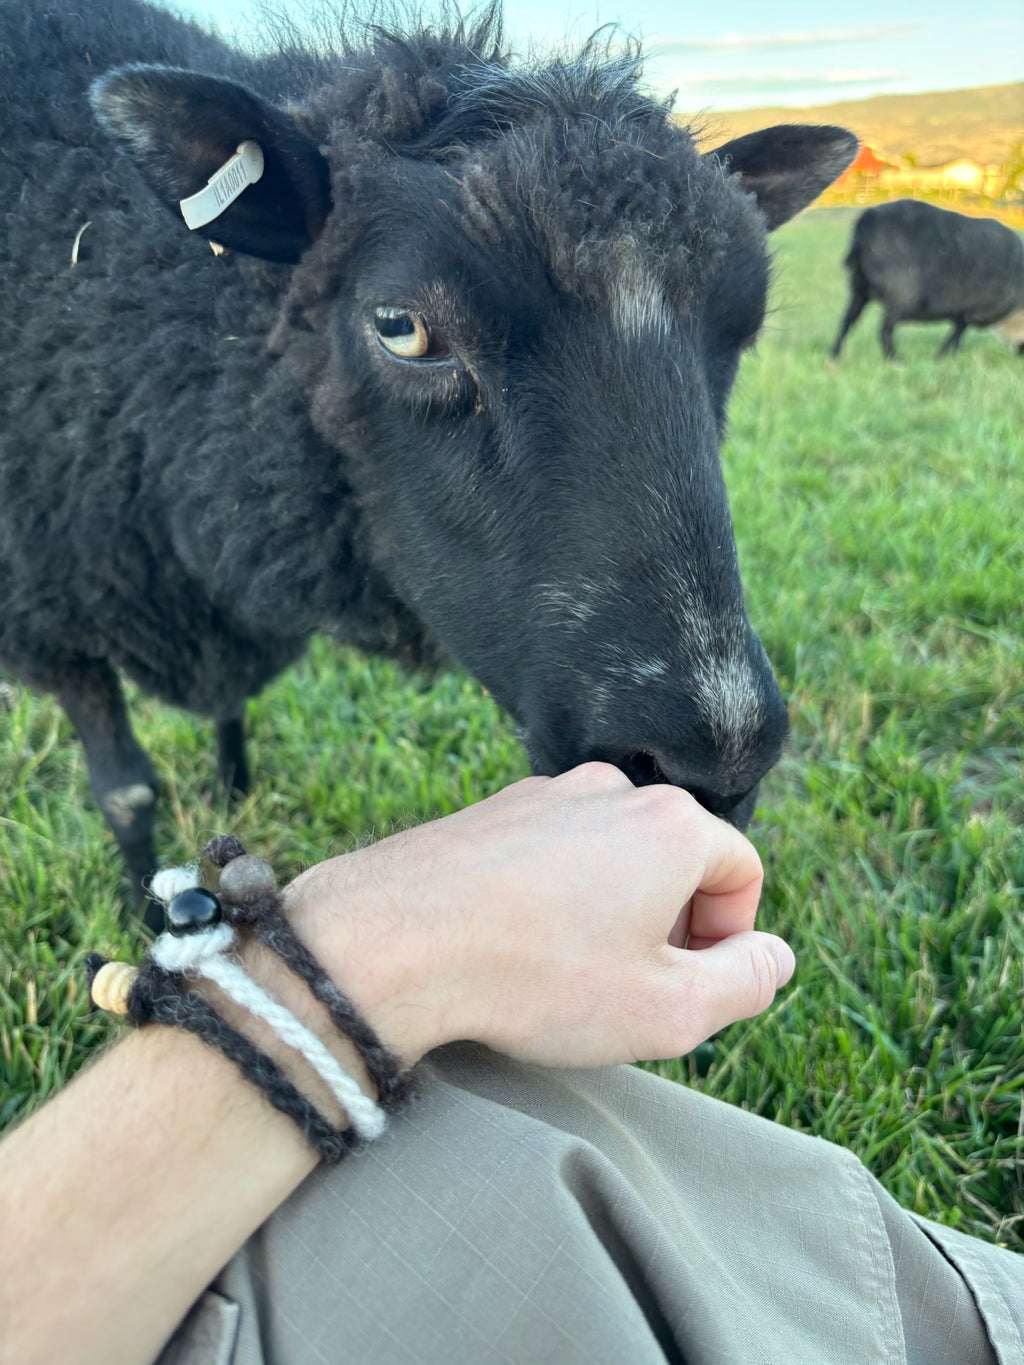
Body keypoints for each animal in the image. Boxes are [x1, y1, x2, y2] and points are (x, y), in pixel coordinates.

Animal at [0, 0, 857, 928]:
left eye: (742, 331)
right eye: (400, 327)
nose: (715, 764)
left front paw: (232, 794)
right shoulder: (57, 609)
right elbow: (126, 794)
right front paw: (150, 913)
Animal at [830, 199, 1024, 361]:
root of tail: (866, 220)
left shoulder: (965, 311)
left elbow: (958, 330)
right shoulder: (974, 309)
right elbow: (958, 333)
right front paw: (942, 356)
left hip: (860, 289)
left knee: (846, 322)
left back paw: (834, 357)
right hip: (899, 294)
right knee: (885, 329)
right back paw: (895, 360)